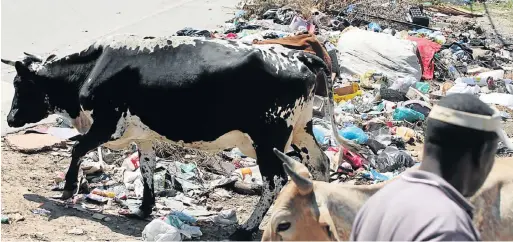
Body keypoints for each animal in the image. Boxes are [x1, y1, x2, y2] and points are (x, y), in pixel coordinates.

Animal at [2, 35, 360, 241]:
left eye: (20, 84)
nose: (9, 119)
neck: (90, 71)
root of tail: (297, 55)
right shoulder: (142, 134)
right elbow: (147, 167)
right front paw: (144, 208)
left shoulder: (106, 126)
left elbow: (77, 149)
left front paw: (67, 189)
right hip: (301, 128)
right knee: (320, 164)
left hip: (267, 137)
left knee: (274, 183)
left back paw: (245, 229)